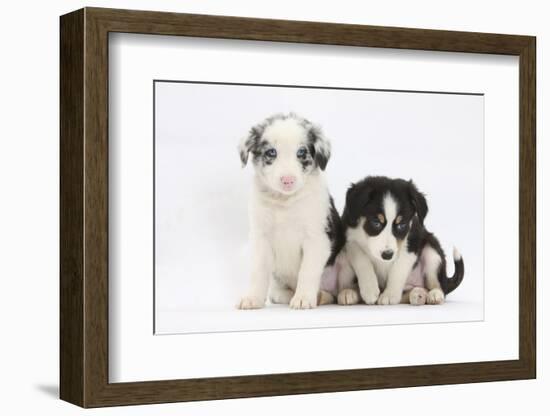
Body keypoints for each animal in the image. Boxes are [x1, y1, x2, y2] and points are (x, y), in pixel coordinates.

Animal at [236, 114, 344, 308]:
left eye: (301, 152)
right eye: (271, 152)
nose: (287, 180)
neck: (285, 202)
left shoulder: (317, 239)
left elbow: (307, 271)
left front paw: (303, 298)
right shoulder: (260, 237)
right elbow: (258, 271)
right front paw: (253, 298)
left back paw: (330, 295)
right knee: (277, 293)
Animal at [338, 176, 464, 306]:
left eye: (401, 225)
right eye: (376, 222)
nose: (387, 255)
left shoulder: (412, 242)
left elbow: (398, 269)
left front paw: (389, 295)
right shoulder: (349, 238)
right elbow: (361, 259)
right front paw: (369, 289)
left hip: (432, 252)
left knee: (438, 286)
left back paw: (433, 295)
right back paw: (350, 293)